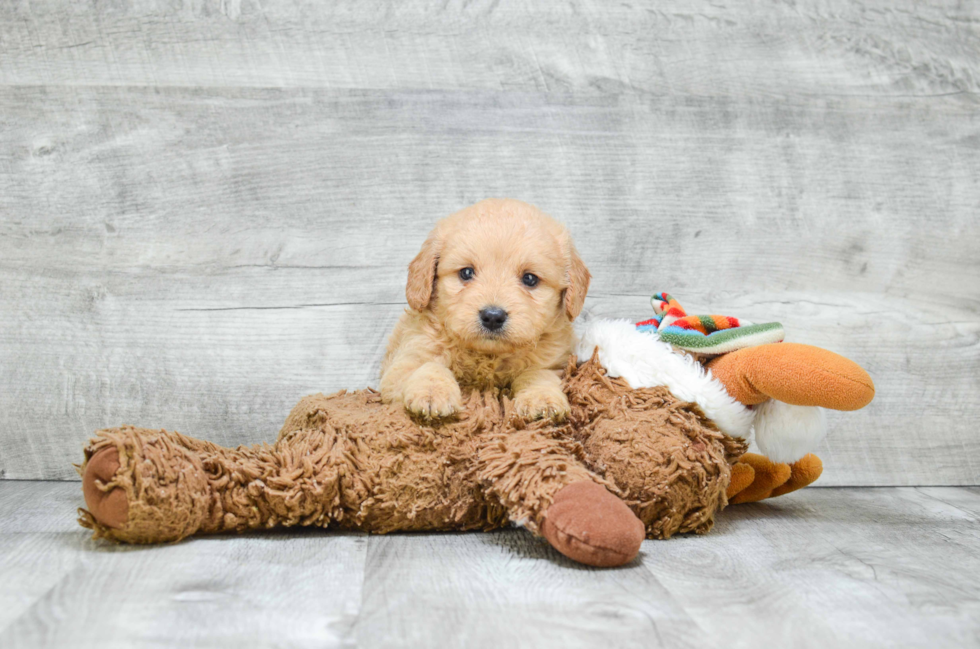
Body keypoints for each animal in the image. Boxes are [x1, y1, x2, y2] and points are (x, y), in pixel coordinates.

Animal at [380, 199, 588, 420]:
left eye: (530, 278)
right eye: (466, 273)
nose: (493, 317)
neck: (488, 355)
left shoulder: (557, 364)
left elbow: (538, 374)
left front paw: (542, 397)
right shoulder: (402, 364)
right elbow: (428, 366)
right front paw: (432, 392)